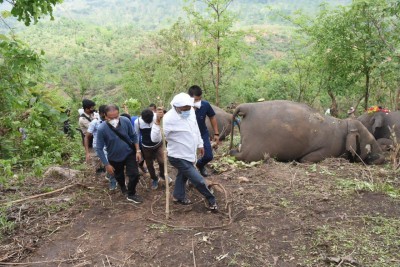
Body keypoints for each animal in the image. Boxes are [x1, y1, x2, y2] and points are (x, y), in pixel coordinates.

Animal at [230, 100, 386, 164]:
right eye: (371, 142)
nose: (383, 158)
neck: (344, 124)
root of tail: (247, 107)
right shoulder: (329, 149)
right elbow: (306, 159)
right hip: (255, 149)